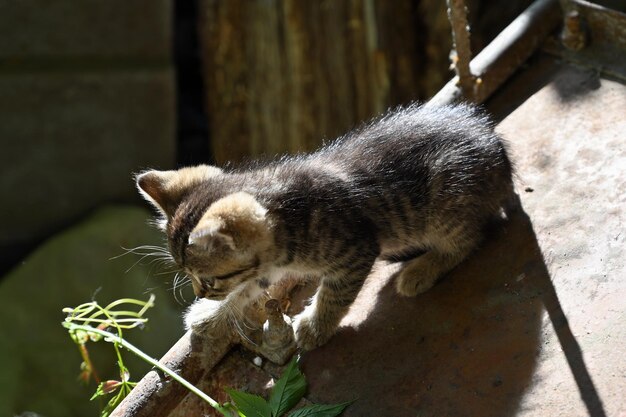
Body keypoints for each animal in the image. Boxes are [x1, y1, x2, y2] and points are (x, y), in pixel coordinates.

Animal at [136, 102, 512, 350]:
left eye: (210, 280)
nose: (200, 293)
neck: (285, 218)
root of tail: (496, 147)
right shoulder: (265, 269)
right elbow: (248, 289)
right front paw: (212, 315)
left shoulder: (356, 251)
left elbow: (334, 295)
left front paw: (315, 328)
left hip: (447, 203)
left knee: (471, 237)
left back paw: (423, 268)